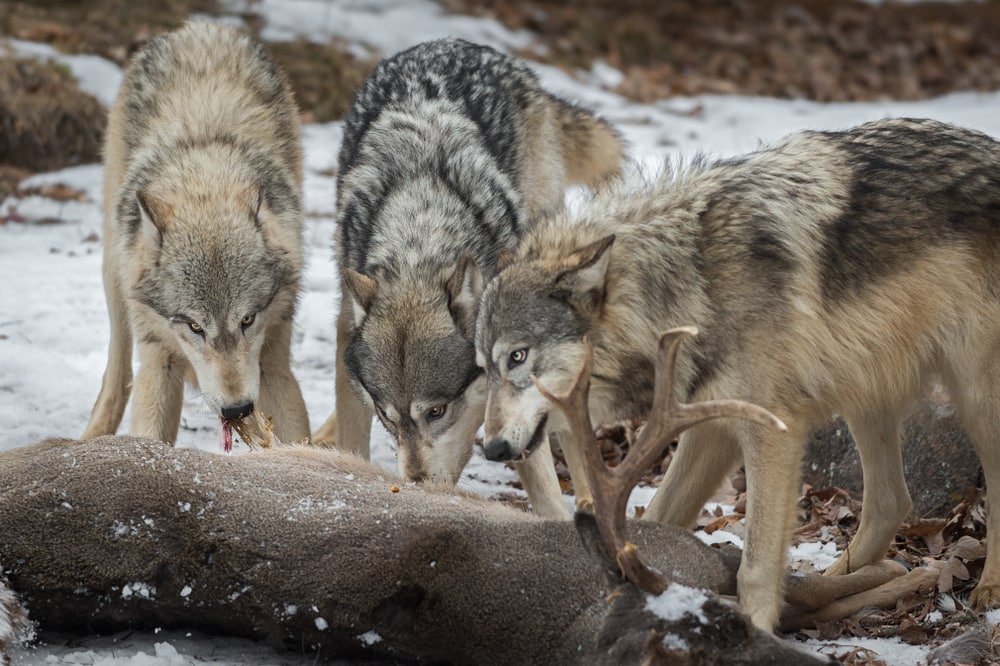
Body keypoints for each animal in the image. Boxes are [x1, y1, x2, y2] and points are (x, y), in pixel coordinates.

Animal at [82, 21, 310, 447]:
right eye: (194, 326)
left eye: (248, 319)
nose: (237, 409)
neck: (204, 182)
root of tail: (201, 27)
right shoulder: (158, 365)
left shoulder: (274, 363)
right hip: (114, 277)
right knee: (117, 368)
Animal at [310, 38, 624, 513]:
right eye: (387, 416)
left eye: (437, 412)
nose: (417, 487)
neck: (420, 239)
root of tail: (461, 44)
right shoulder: (348, 332)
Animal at [475, 117, 1000, 631]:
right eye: (485, 367)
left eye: (518, 357)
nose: (493, 448)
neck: (688, 282)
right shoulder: (711, 429)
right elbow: (661, 519)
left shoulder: (773, 433)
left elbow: (756, 568)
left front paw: (757, 627)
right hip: (866, 395)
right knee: (892, 503)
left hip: (975, 399)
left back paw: (988, 590)